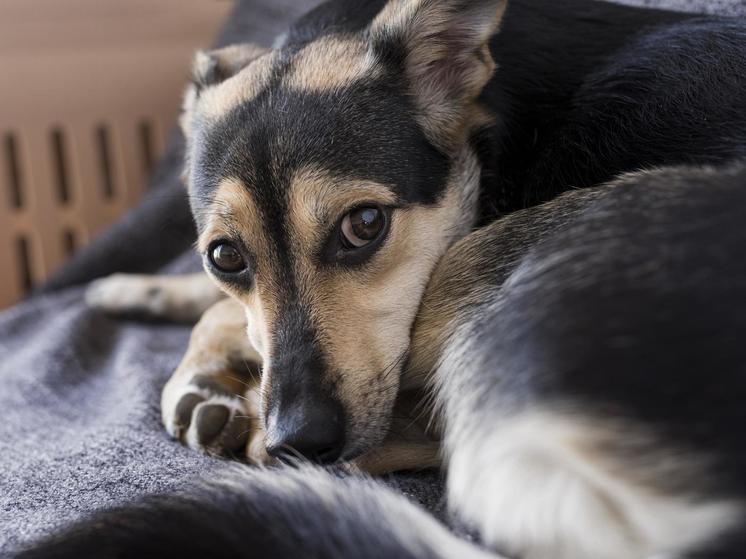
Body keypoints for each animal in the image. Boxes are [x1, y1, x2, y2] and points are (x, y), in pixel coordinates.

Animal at [62, 0, 744, 556]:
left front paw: (200, 372)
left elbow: (223, 314)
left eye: (365, 223)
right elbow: (219, 303)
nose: (298, 440)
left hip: (496, 255)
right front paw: (135, 290)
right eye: (225, 257)